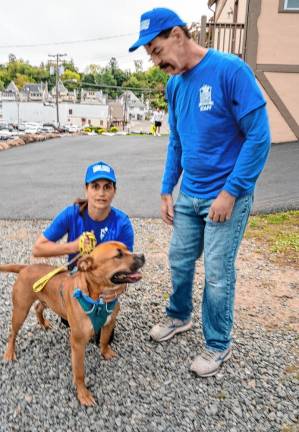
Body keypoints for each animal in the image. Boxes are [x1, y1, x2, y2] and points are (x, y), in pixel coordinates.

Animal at [0, 241, 145, 406]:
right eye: (118, 255)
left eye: (127, 248)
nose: (142, 256)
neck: (99, 298)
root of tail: (25, 267)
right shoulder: (78, 343)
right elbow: (80, 372)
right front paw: (83, 394)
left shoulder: (109, 323)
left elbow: (104, 340)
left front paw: (106, 352)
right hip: (21, 310)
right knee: (12, 333)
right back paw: (9, 352)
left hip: (47, 300)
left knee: (38, 307)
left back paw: (43, 323)